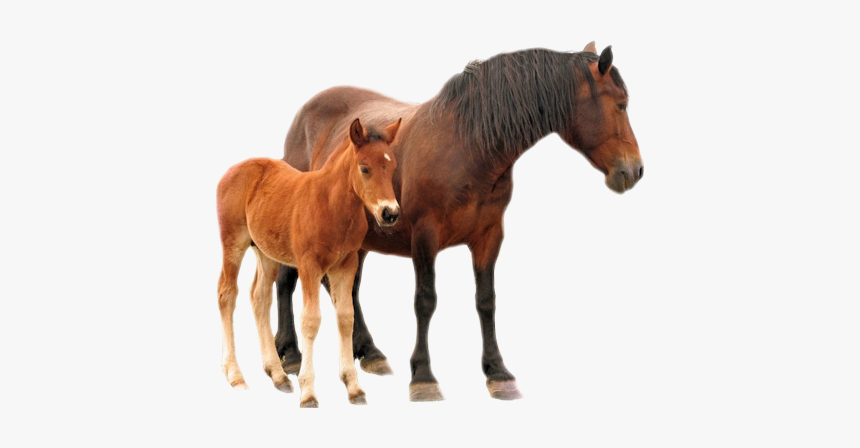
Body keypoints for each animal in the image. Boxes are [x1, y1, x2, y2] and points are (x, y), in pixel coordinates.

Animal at [216, 117, 402, 407]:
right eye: (364, 168)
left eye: (391, 166)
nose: (390, 213)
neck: (331, 206)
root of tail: (235, 168)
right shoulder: (309, 266)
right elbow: (311, 320)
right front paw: (308, 392)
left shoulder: (345, 265)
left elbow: (345, 317)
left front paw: (353, 387)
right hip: (233, 241)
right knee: (227, 294)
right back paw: (236, 375)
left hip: (265, 251)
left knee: (259, 297)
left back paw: (278, 375)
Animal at [274, 42, 643, 401]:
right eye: (621, 104)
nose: (635, 170)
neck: (467, 145)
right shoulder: (424, 237)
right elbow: (425, 301)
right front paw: (423, 377)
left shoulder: (489, 236)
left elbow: (486, 300)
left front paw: (498, 372)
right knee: (287, 280)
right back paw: (290, 354)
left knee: (347, 290)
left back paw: (368, 351)